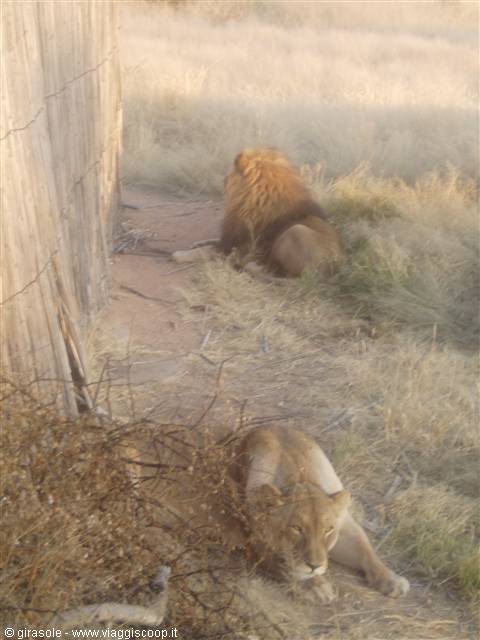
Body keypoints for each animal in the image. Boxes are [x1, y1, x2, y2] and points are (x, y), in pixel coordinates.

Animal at [172, 148, 345, 277]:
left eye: (231, 173)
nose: (223, 179)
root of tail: (334, 269)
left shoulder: (233, 249)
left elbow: (202, 252)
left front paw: (180, 255)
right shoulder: (230, 239)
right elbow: (210, 241)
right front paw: (198, 243)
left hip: (296, 231)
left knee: (280, 272)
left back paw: (252, 266)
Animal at [228, 425, 410, 603]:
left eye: (328, 530)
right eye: (296, 528)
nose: (315, 566)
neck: (300, 477)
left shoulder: (343, 527)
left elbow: (365, 551)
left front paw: (392, 579)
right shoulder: (255, 542)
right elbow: (286, 565)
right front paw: (316, 586)